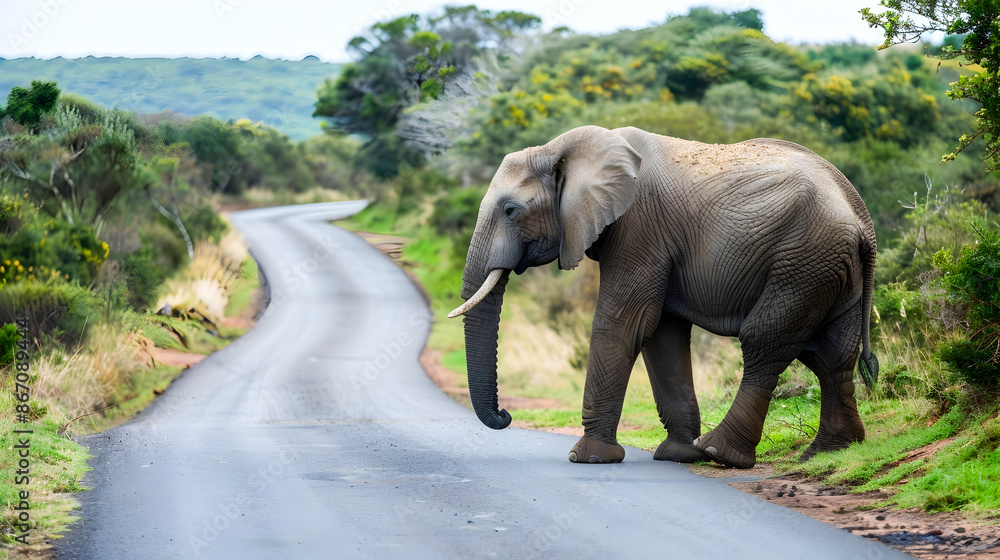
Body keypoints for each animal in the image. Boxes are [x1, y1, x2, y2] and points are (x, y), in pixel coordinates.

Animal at [449, 125, 878, 469]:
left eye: (510, 210)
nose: (505, 415)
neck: (563, 148)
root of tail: (863, 220)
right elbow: (661, 334)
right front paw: (677, 455)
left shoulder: (639, 227)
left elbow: (624, 323)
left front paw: (588, 458)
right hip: (831, 268)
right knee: (829, 356)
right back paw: (829, 452)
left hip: (803, 260)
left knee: (765, 342)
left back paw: (721, 454)